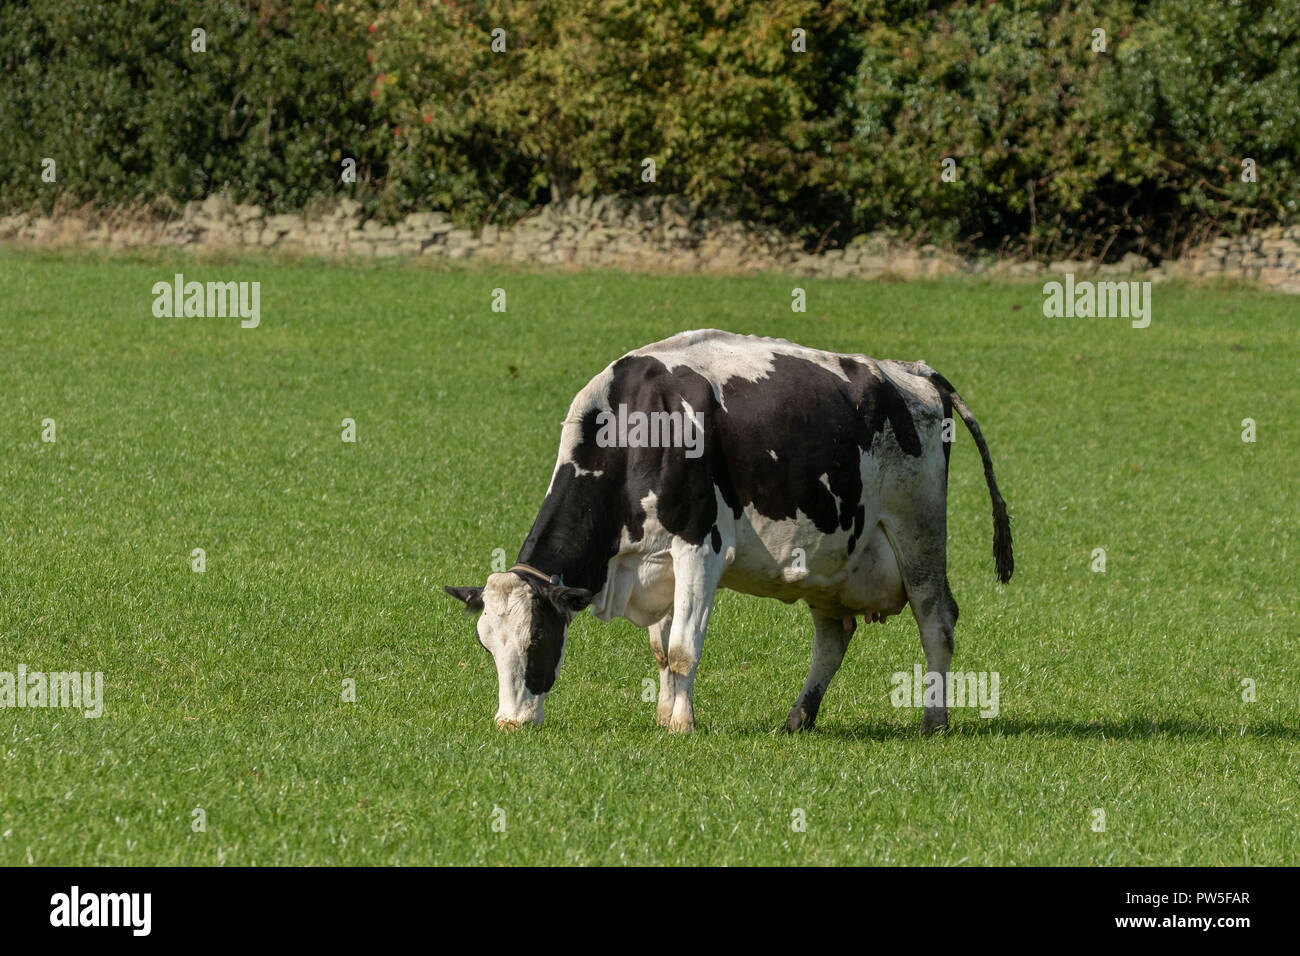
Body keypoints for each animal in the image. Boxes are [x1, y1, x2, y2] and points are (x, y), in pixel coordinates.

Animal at [446, 329, 1012, 734]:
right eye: (486, 646)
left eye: (538, 638)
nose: (509, 723)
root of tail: (914, 372)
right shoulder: (658, 562)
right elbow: (662, 649)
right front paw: (666, 715)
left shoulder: (700, 547)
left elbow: (682, 648)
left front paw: (681, 726)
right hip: (830, 561)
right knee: (833, 638)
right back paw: (797, 719)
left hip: (918, 531)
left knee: (936, 620)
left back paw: (934, 722)